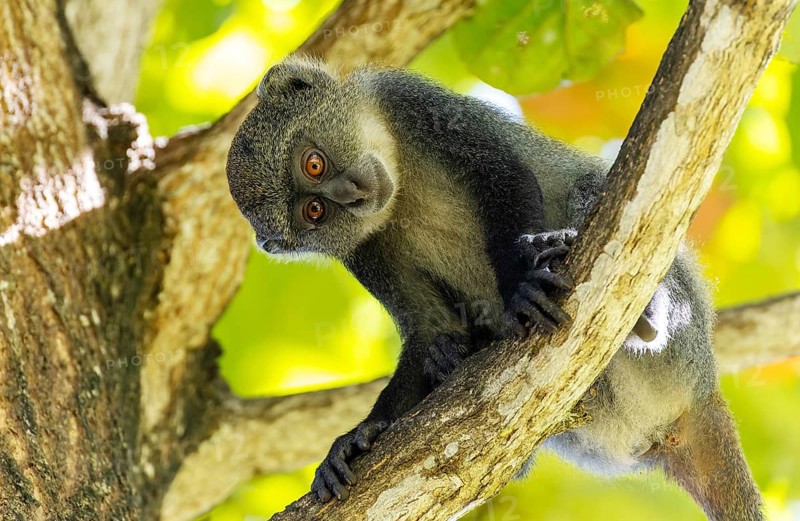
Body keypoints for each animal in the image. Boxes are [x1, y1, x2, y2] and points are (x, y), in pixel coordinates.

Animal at [225, 56, 763, 520]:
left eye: (313, 164)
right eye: (314, 211)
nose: (351, 193)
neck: (399, 183)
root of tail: (699, 397)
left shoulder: (415, 105)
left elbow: (504, 177)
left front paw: (521, 287)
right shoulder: (362, 251)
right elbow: (429, 332)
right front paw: (359, 437)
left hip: (680, 339)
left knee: (592, 188)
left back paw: (643, 315)